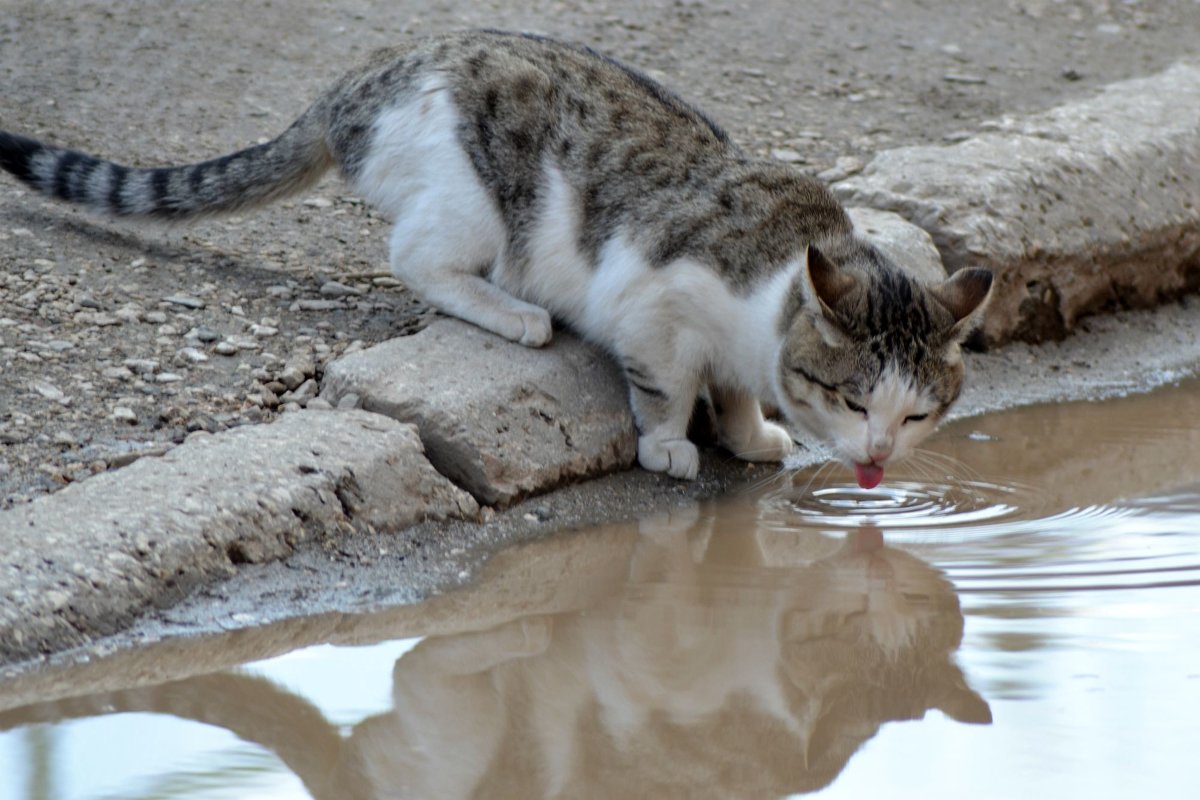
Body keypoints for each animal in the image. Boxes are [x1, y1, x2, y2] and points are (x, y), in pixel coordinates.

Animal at [0, 28, 993, 484]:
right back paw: (517, 313)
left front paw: (750, 434)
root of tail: (366, 77)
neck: (774, 281)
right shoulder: (654, 305)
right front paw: (673, 446)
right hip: (472, 199)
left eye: (916, 416)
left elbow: (740, 391)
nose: (876, 460)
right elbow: (667, 386)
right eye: (856, 400)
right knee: (416, 257)